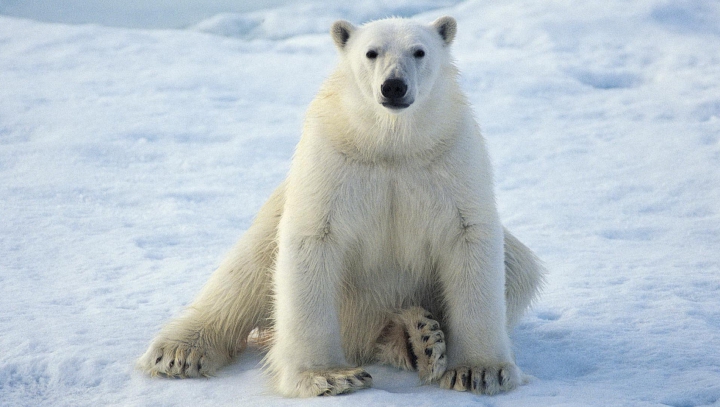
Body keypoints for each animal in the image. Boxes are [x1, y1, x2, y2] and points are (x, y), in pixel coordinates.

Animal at [138, 16, 544, 398]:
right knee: (244, 272)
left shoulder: (450, 158)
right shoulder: (333, 159)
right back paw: (179, 351)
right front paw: (329, 377)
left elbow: (469, 238)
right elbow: (313, 241)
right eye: (371, 52)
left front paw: (479, 371)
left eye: (419, 51)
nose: (393, 86)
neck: (391, 144)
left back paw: (418, 338)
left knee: (519, 267)